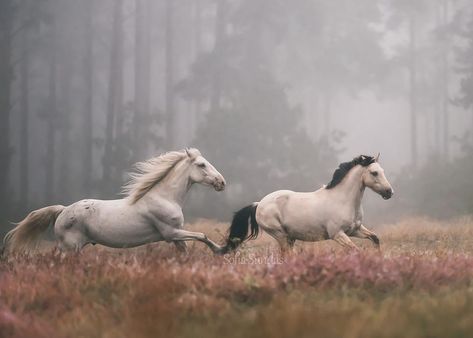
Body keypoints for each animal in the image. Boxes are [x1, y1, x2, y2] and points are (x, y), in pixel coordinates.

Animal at [3, 147, 225, 254]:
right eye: (201, 164)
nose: (221, 182)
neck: (164, 198)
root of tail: (63, 210)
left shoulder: (176, 236)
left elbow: (187, 251)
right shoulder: (171, 233)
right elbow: (203, 235)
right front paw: (221, 250)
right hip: (70, 248)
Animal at [219, 154, 392, 254]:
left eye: (383, 171)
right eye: (374, 173)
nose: (390, 192)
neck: (344, 200)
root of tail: (259, 203)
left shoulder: (355, 230)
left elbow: (375, 238)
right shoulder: (338, 234)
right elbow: (356, 250)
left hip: (290, 238)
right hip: (281, 236)